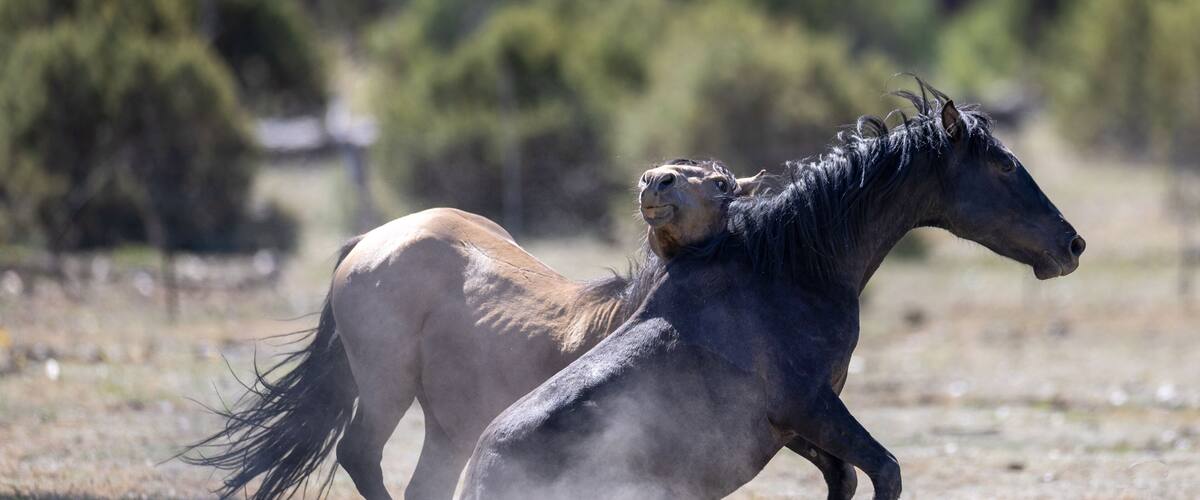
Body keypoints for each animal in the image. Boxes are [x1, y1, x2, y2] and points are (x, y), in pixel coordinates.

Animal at [182, 160, 773, 499]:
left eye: (722, 184)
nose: (656, 181)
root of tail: (373, 238)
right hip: (386, 387)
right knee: (359, 454)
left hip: (446, 427)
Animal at [460, 82, 1086, 500]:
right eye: (1004, 165)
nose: (1072, 244)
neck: (790, 270)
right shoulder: (810, 404)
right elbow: (884, 472)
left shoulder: (791, 425)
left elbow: (846, 477)